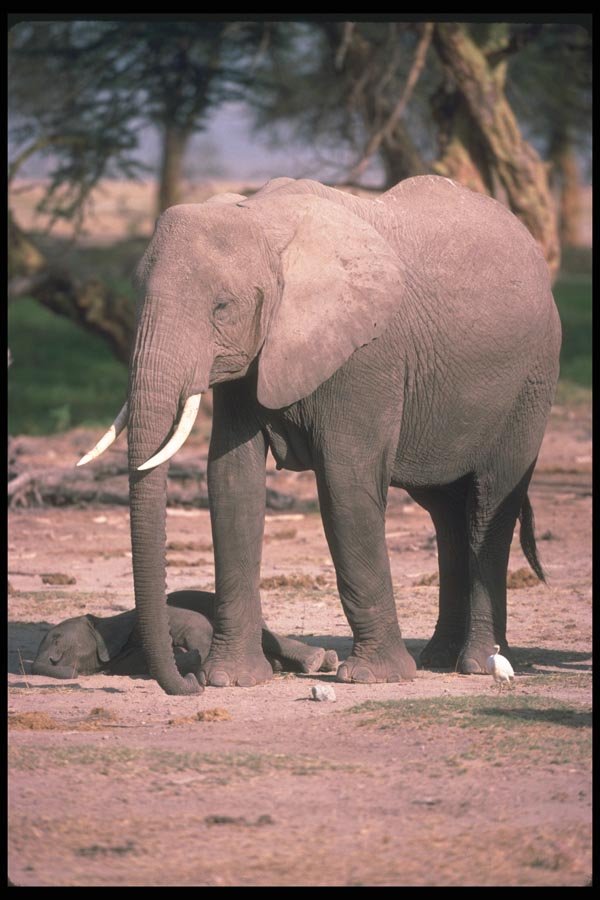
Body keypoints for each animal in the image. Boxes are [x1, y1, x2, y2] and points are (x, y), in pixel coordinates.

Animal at [78, 174, 561, 695]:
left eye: (221, 308)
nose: (188, 682)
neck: (263, 222)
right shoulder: (252, 360)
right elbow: (231, 483)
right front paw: (232, 680)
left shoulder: (366, 357)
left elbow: (345, 485)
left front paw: (373, 678)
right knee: (445, 511)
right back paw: (438, 657)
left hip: (531, 384)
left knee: (489, 504)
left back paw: (475, 663)